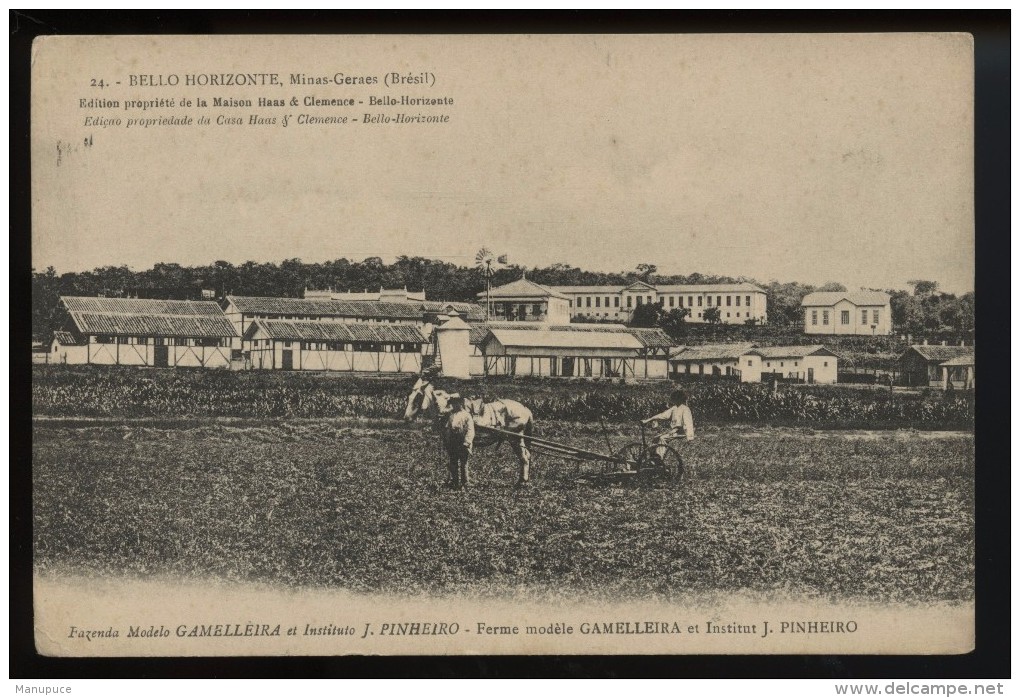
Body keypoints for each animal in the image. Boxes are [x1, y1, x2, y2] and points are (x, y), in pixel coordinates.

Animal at [401, 375, 538, 485]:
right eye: (408, 396)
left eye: (418, 396)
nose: (406, 418)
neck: (447, 410)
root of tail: (525, 408)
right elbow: (455, 460)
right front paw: (454, 480)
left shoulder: (452, 440)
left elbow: (456, 459)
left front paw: (458, 481)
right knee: (527, 456)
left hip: (516, 437)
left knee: (524, 458)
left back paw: (522, 481)